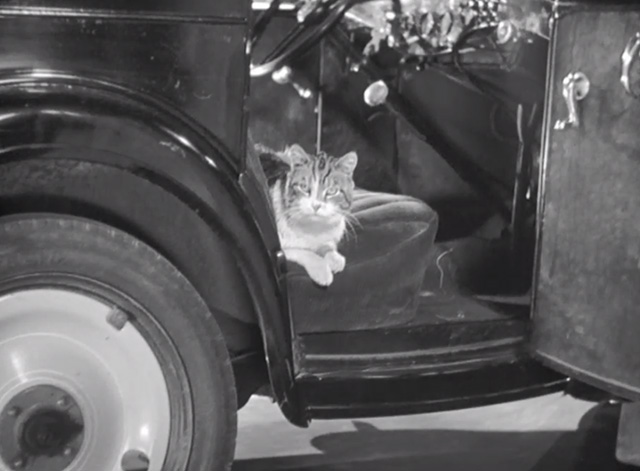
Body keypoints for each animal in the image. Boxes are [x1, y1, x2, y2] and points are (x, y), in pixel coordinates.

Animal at [260, 143, 360, 288]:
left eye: (332, 191)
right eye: (303, 187)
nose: (316, 205)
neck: (312, 227)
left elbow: (327, 243)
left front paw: (334, 257)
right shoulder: (278, 249)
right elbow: (302, 251)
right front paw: (322, 270)